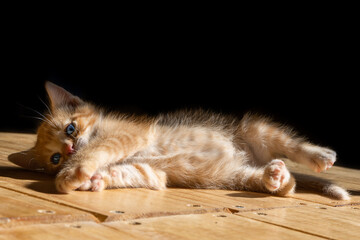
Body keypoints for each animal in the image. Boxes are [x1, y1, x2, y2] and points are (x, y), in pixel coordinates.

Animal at [9, 81, 348, 200]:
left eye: (70, 129)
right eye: (54, 158)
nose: (68, 150)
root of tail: (255, 160)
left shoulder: (129, 133)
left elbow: (98, 148)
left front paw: (75, 173)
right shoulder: (151, 172)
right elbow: (128, 172)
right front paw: (95, 180)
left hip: (256, 128)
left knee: (292, 145)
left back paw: (320, 156)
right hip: (232, 175)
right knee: (285, 184)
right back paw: (275, 177)